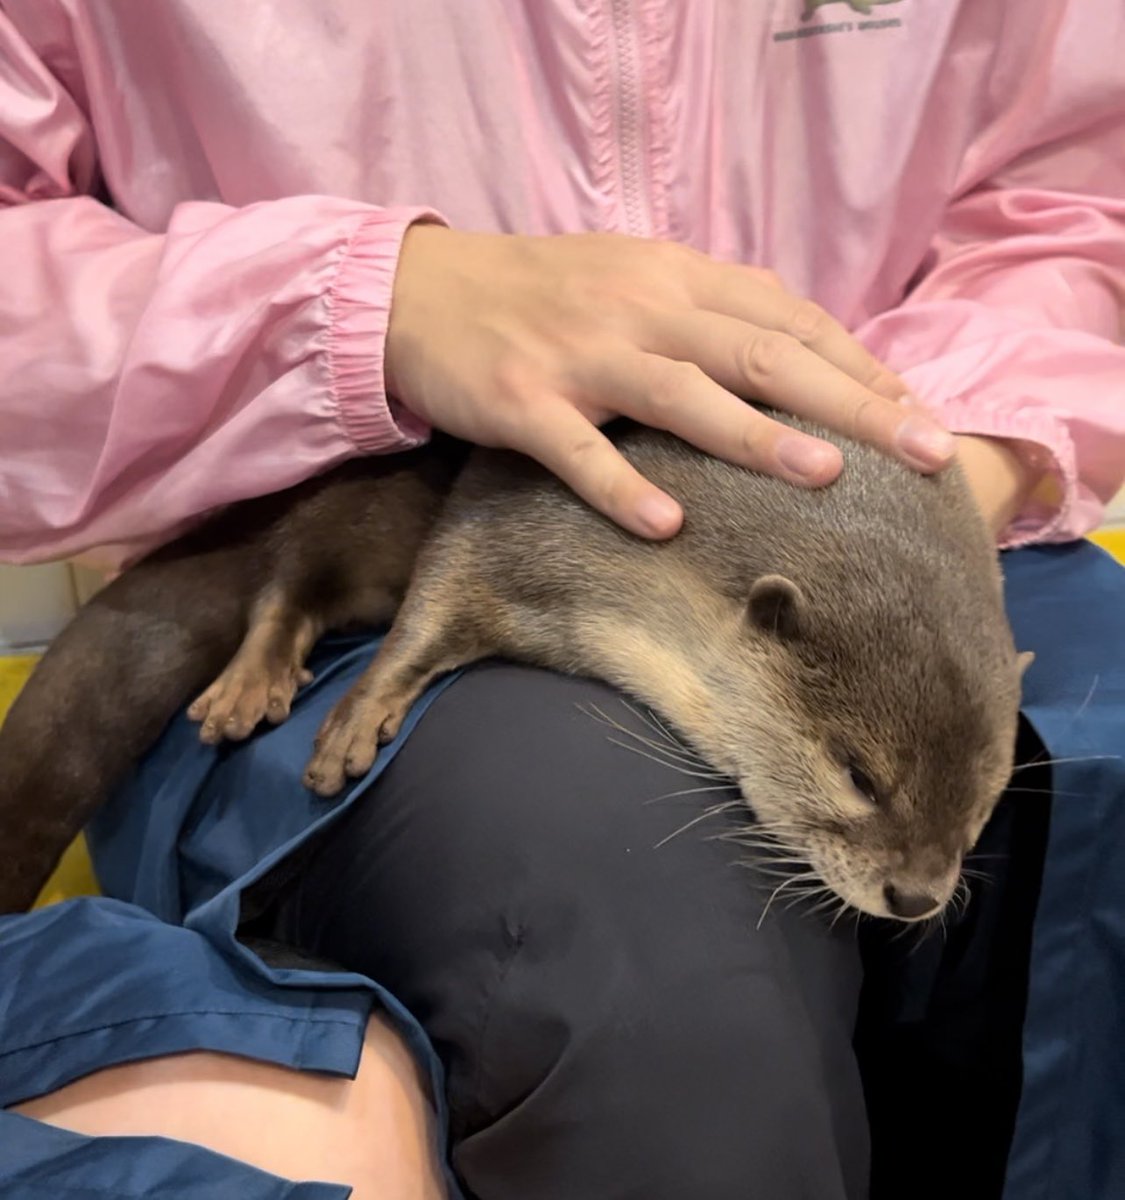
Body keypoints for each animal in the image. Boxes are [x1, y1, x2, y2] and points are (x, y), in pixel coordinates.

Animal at [0, 414, 1029, 920]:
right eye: (858, 776)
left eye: (984, 803)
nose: (915, 896)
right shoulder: (517, 512)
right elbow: (429, 605)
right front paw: (357, 721)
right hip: (354, 493)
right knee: (289, 577)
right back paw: (252, 686)